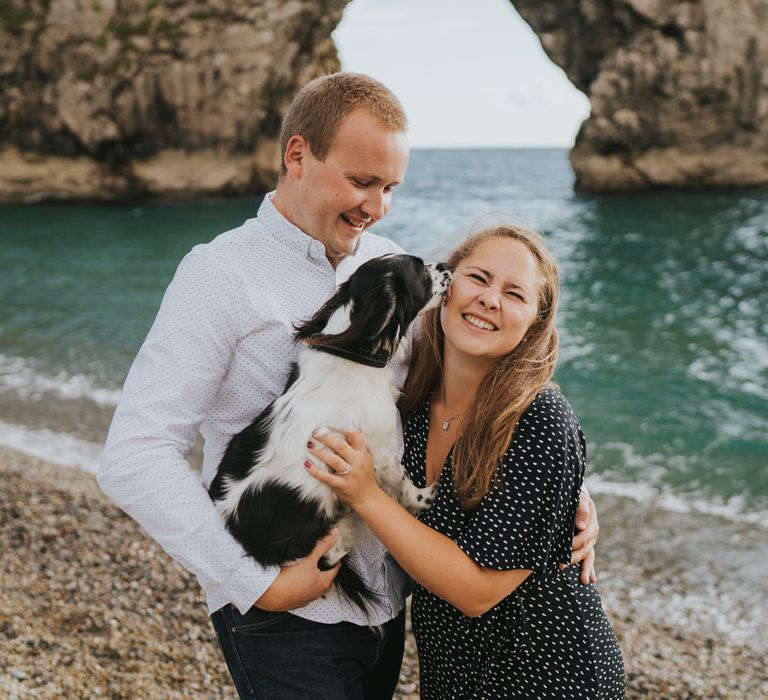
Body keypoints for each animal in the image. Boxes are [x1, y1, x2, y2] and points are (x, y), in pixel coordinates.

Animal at [207, 254, 452, 616]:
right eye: (421, 270)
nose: (448, 265)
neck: (352, 353)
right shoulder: (381, 451)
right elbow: (405, 482)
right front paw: (425, 496)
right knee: (330, 555)